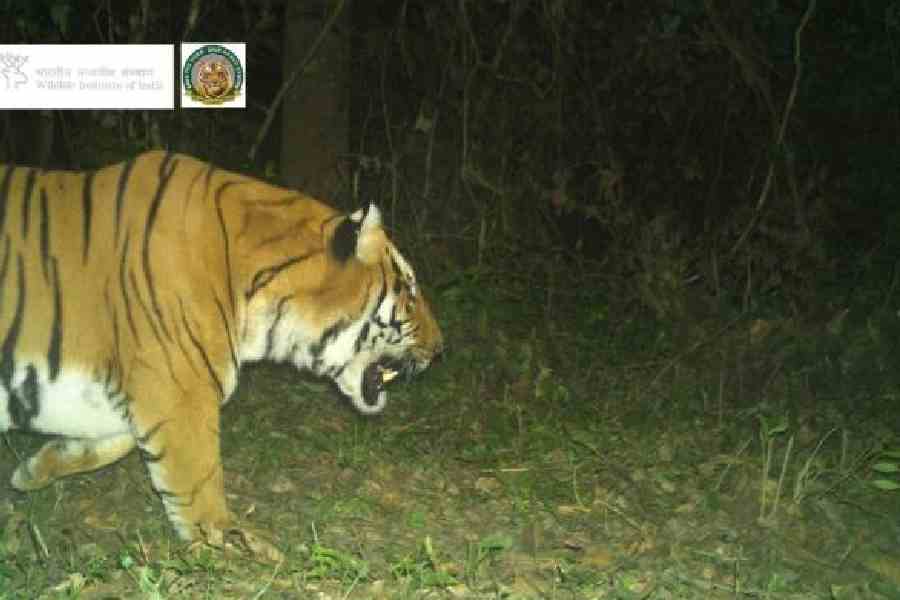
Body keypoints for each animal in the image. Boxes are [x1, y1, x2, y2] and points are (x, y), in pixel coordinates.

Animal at [0, 150, 443, 556]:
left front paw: (34, 469)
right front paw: (232, 540)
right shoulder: (179, 392)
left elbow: (114, 441)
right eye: (409, 291)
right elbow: (199, 480)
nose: (441, 349)